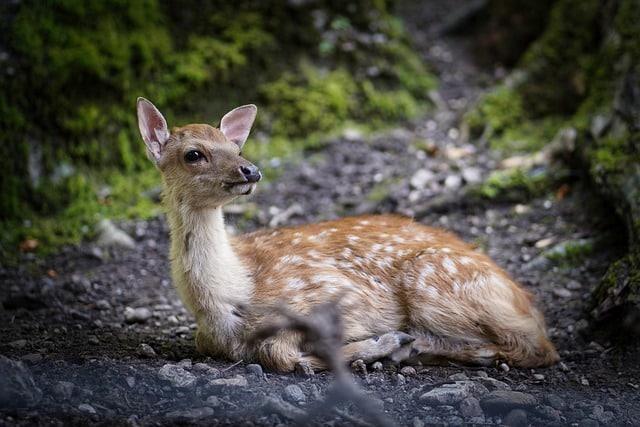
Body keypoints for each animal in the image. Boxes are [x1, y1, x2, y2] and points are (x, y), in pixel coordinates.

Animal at [136, 98, 560, 372]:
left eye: (234, 146)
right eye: (194, 154)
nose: (250, 170)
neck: (233, 296)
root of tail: (527, 301)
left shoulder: (334, 294)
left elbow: (278, 353)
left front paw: (377, 345)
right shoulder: (207, 339)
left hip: (436, 286)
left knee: (538, 347)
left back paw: (412, 346)